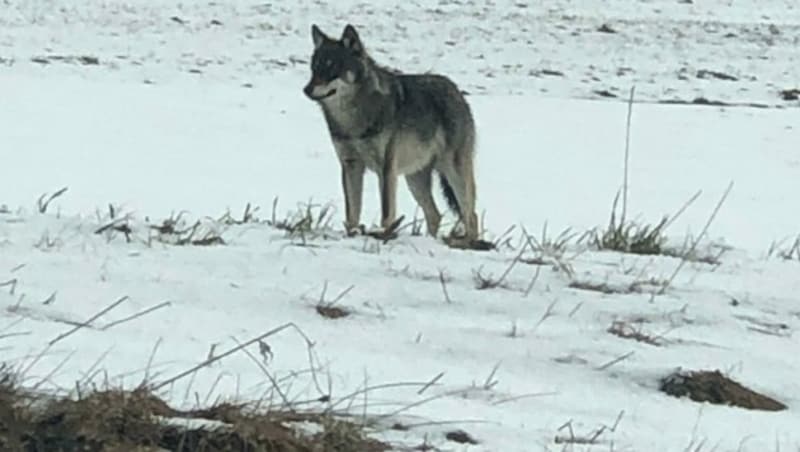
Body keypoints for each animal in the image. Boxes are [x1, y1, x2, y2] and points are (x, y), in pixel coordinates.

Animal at [304, 23, 478, 244]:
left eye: (332, 68)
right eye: (314, 68)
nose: (306, 89)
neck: (353, 119)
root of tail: (456, 90)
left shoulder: (386, 168)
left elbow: (387, 213)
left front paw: (384, 236)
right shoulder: (350, 165)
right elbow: (352, 212)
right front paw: (352, 235)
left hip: (454, 173)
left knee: (471, 215)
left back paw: (468, 243)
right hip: (415, 180)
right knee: (435, 215)